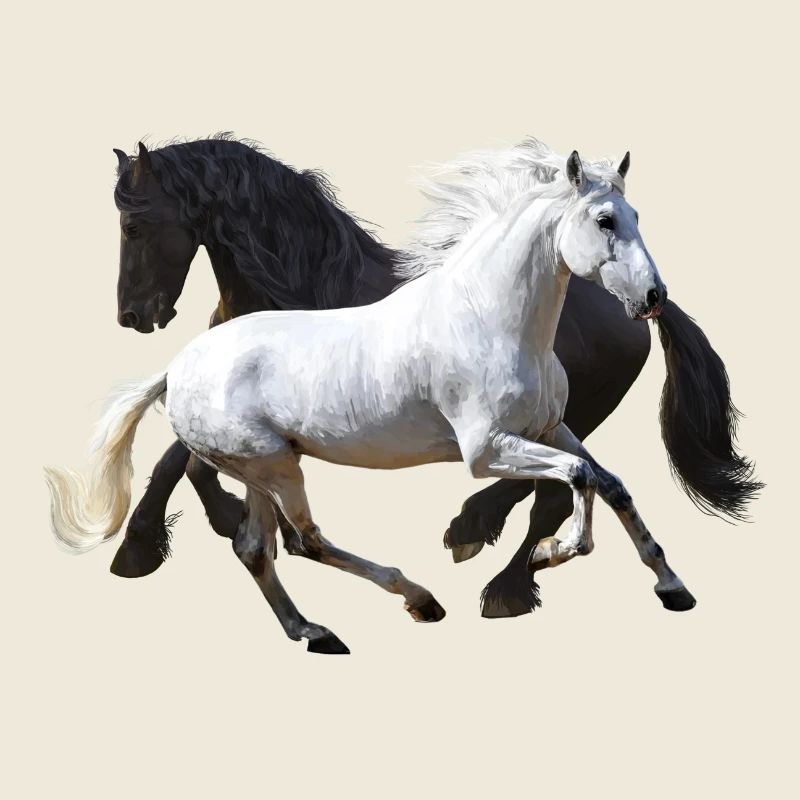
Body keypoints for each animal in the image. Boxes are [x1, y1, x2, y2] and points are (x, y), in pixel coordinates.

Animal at [46, 142, 753, 653]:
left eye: (635, 217)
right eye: (605, 220)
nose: (651, 297)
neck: (490, 317)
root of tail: (177, 367)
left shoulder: (551, 428)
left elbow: (611, 484)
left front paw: (672, 586)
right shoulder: (486, 450)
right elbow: (579, 482)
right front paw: (555, 555)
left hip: (263, 467)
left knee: (258, 546)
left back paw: (320, 629)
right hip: (273, 464)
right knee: (299, 542)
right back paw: (422, 598)